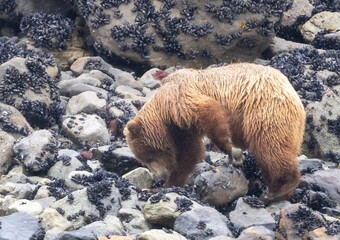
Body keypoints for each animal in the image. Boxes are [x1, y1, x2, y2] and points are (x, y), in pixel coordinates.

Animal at [124, 62, 306, 203]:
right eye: (143, 161)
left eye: (149, 156)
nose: (159, 176)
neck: (164, 113)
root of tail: (295, 96)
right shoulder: (182, 128)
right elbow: (189, 155)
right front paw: (162, 187)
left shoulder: (180, 98)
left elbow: (209, 110)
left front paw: (232, 151)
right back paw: (275, 191)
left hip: (265, 111)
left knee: (270, 147)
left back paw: (280, 189)